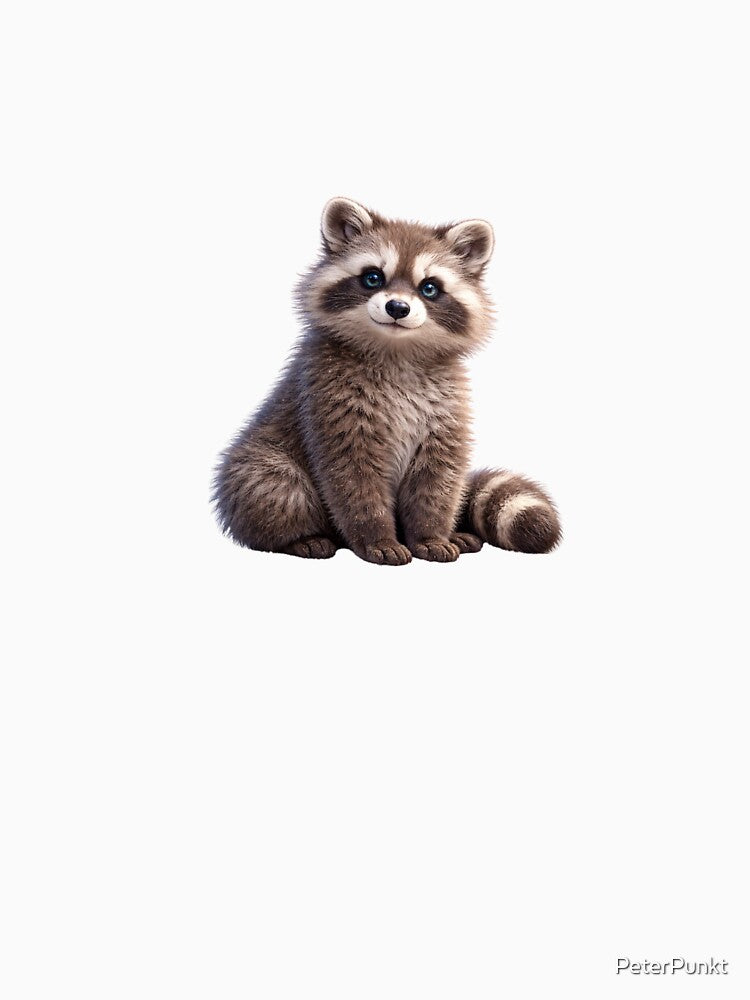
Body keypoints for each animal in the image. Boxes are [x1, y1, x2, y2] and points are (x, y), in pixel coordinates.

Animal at [213, 198, 560, 565]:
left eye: (429, 288)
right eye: (372, 278)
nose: (397, 307)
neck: (397, 351)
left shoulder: (446, 410)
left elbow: (437, 479)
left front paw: (430, 534)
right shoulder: (329, 400)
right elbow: (353, 480)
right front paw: (375, 537)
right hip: (258, 461)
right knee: (274, 486)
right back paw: (300, 537)